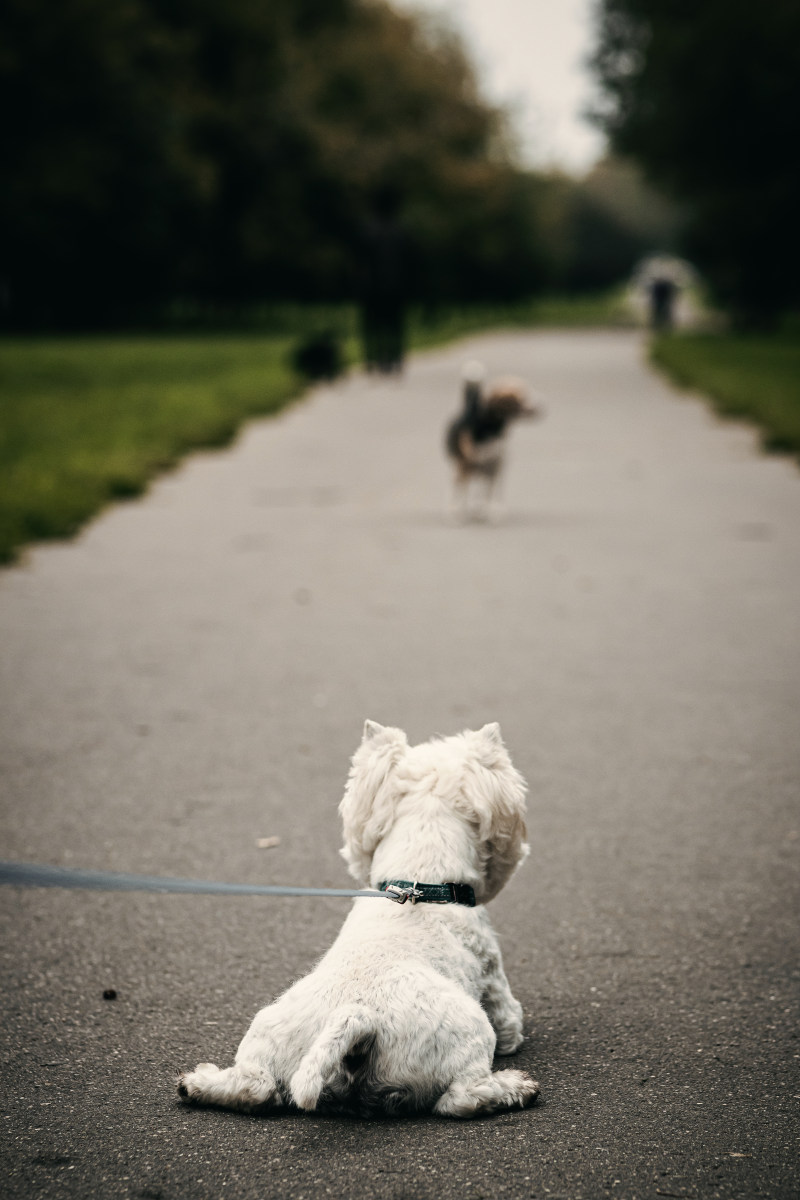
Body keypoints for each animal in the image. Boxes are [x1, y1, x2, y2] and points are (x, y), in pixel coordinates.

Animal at [178, 715, 542, 1118]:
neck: (420, 879)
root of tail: (359, 1018)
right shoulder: (493, 973)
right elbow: (509, 1018)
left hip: (268, 1035)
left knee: (254, 1086)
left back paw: (196, 1082)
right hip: (469, 1035)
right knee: (461, 1097)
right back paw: (516, 1087)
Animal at [448, 360, 542, 520]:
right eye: (521, 398)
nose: (543, 406)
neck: (489, 427)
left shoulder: (496, 464)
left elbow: (491, 492)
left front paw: (492, 511)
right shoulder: (468, 463)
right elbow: (465, 489)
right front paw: (458, 511)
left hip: (490, 466)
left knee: (486, 488)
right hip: (471, 465)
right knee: (464, 485)